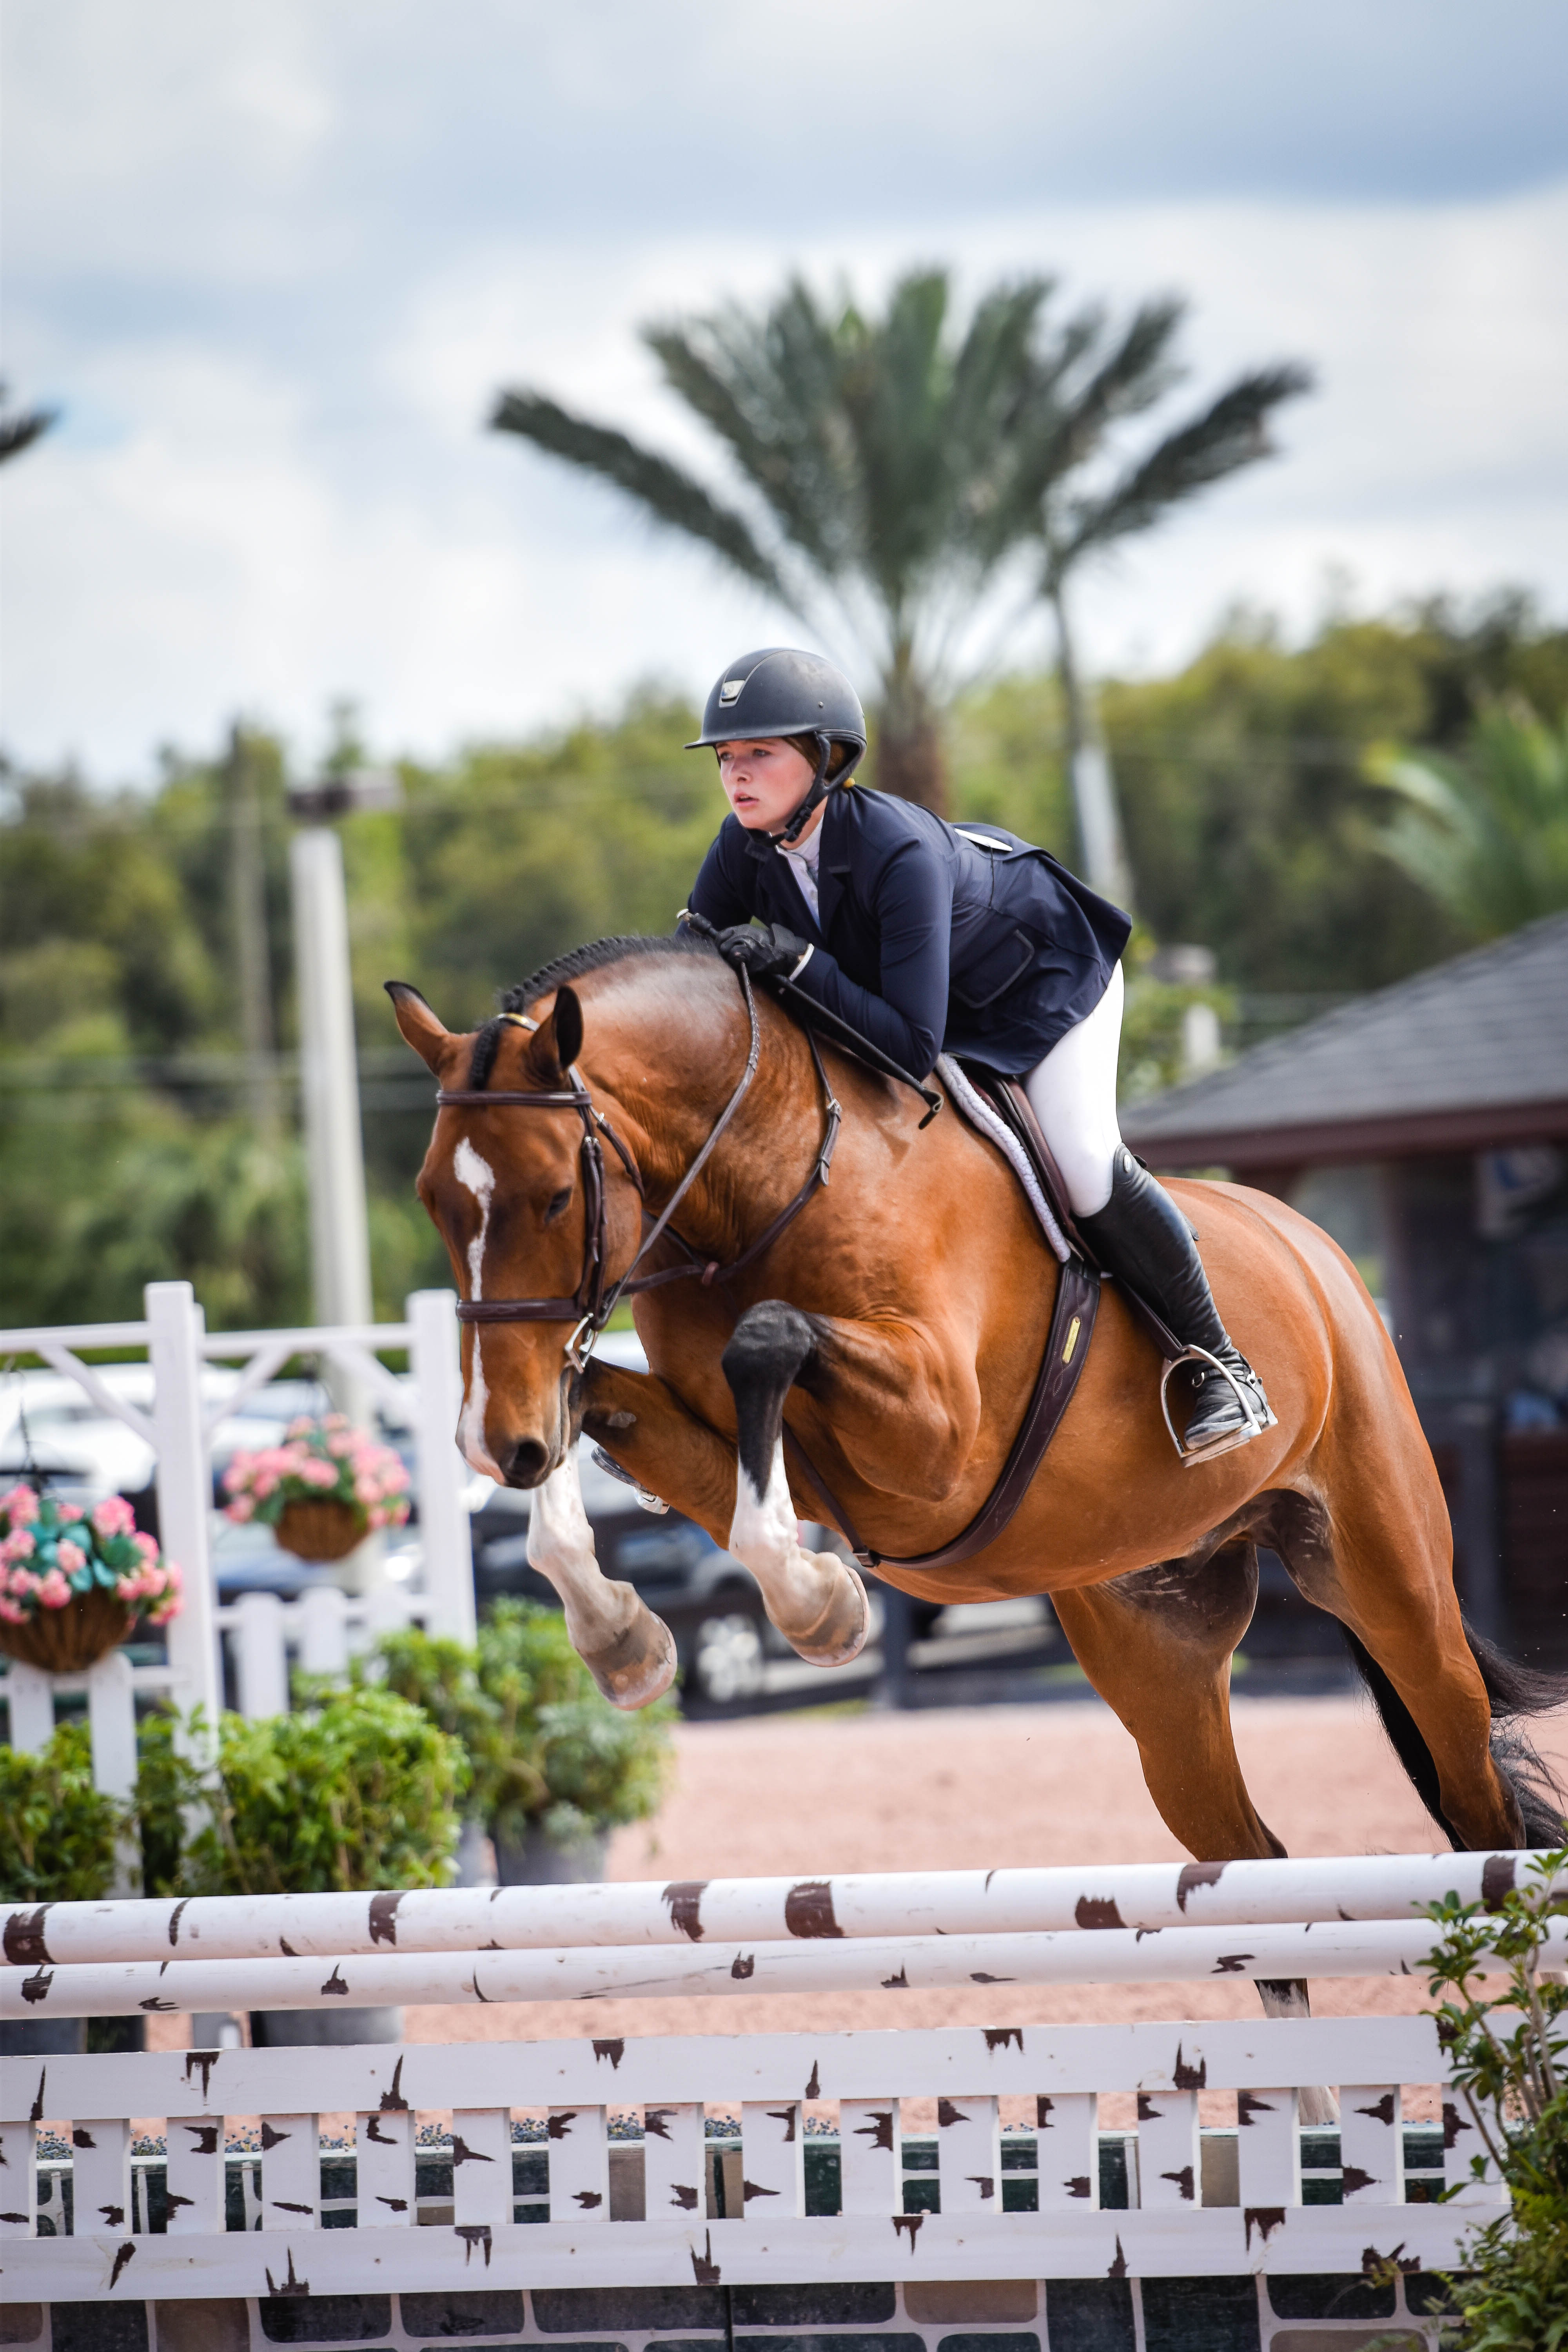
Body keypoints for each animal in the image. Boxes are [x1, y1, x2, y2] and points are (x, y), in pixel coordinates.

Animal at [385, 927, 1561, 1900]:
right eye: (435, 1201)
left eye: (553, 1197)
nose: (495, 1443)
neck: (764, 1177)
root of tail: (1318, 1255)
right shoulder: (700, 1432)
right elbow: (600, 1407)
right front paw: (625, 1642)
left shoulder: (936, 1438)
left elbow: (765, 1341)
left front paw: (819, 1608)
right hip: (1160, 1646)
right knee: (1244, 1856)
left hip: (1389, 1582)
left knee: (1476, 1805)